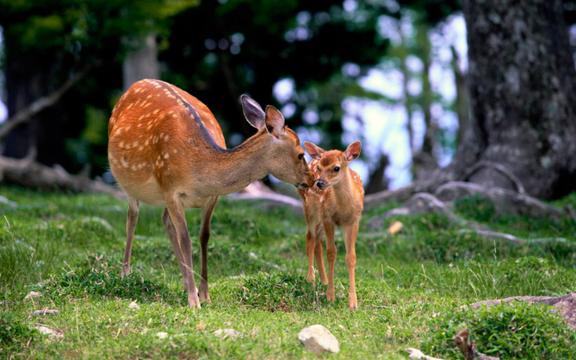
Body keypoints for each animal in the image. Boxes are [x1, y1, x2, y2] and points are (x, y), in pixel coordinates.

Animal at [105, 79, 308, 310]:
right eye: (300, 154)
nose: (312, 180)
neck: (199, 168)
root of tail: (136, 84)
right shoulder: (170, 189)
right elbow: (186, 239)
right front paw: (194, 302)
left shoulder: (211, 197)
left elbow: (204, 236)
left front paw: (204, 294)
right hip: (128, 182)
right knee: (132, 218)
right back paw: (125, 274)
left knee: (165, 220)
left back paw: (186, 282)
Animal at [300, 141, 362, 310]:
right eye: (320, 168)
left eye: (336, 168)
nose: (320, 183)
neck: (343, 208)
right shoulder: (328, 218)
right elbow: (331, 253)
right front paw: (330, 296)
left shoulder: (354, 220)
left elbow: (351, 257)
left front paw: (353, 303)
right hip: (311, 211)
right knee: (310, 238)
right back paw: (311, 279)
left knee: (317, 242)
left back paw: (324, 280)